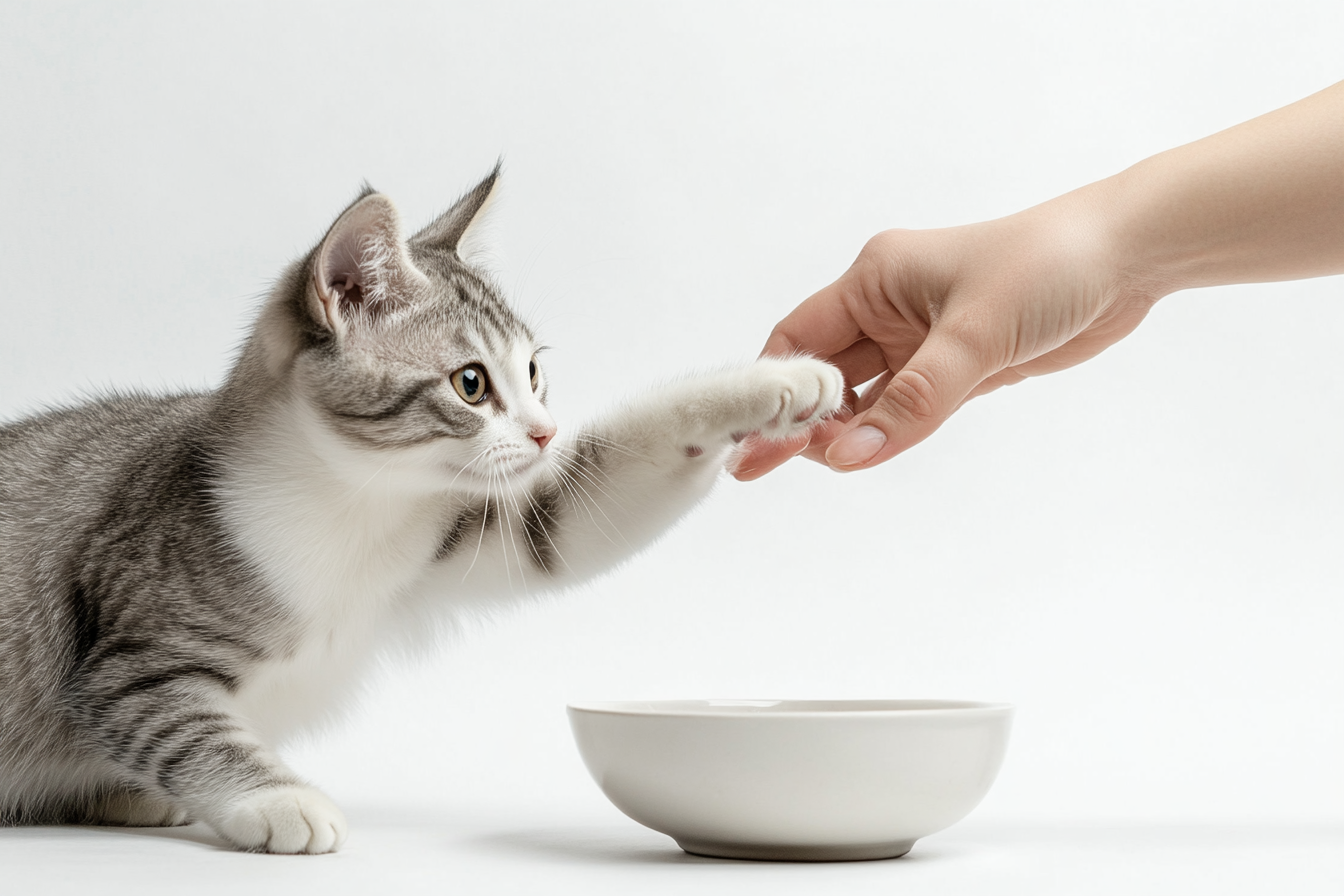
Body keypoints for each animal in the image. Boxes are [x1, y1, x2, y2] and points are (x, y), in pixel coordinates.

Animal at [0, 167, 838, 854]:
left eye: (534, 372)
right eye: (471, 383)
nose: (545, 432)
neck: (354, 503)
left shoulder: (486, 526)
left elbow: (590, 499)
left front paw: (777, 383)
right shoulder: (132, 649)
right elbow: (184, 724)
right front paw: (278, 800)